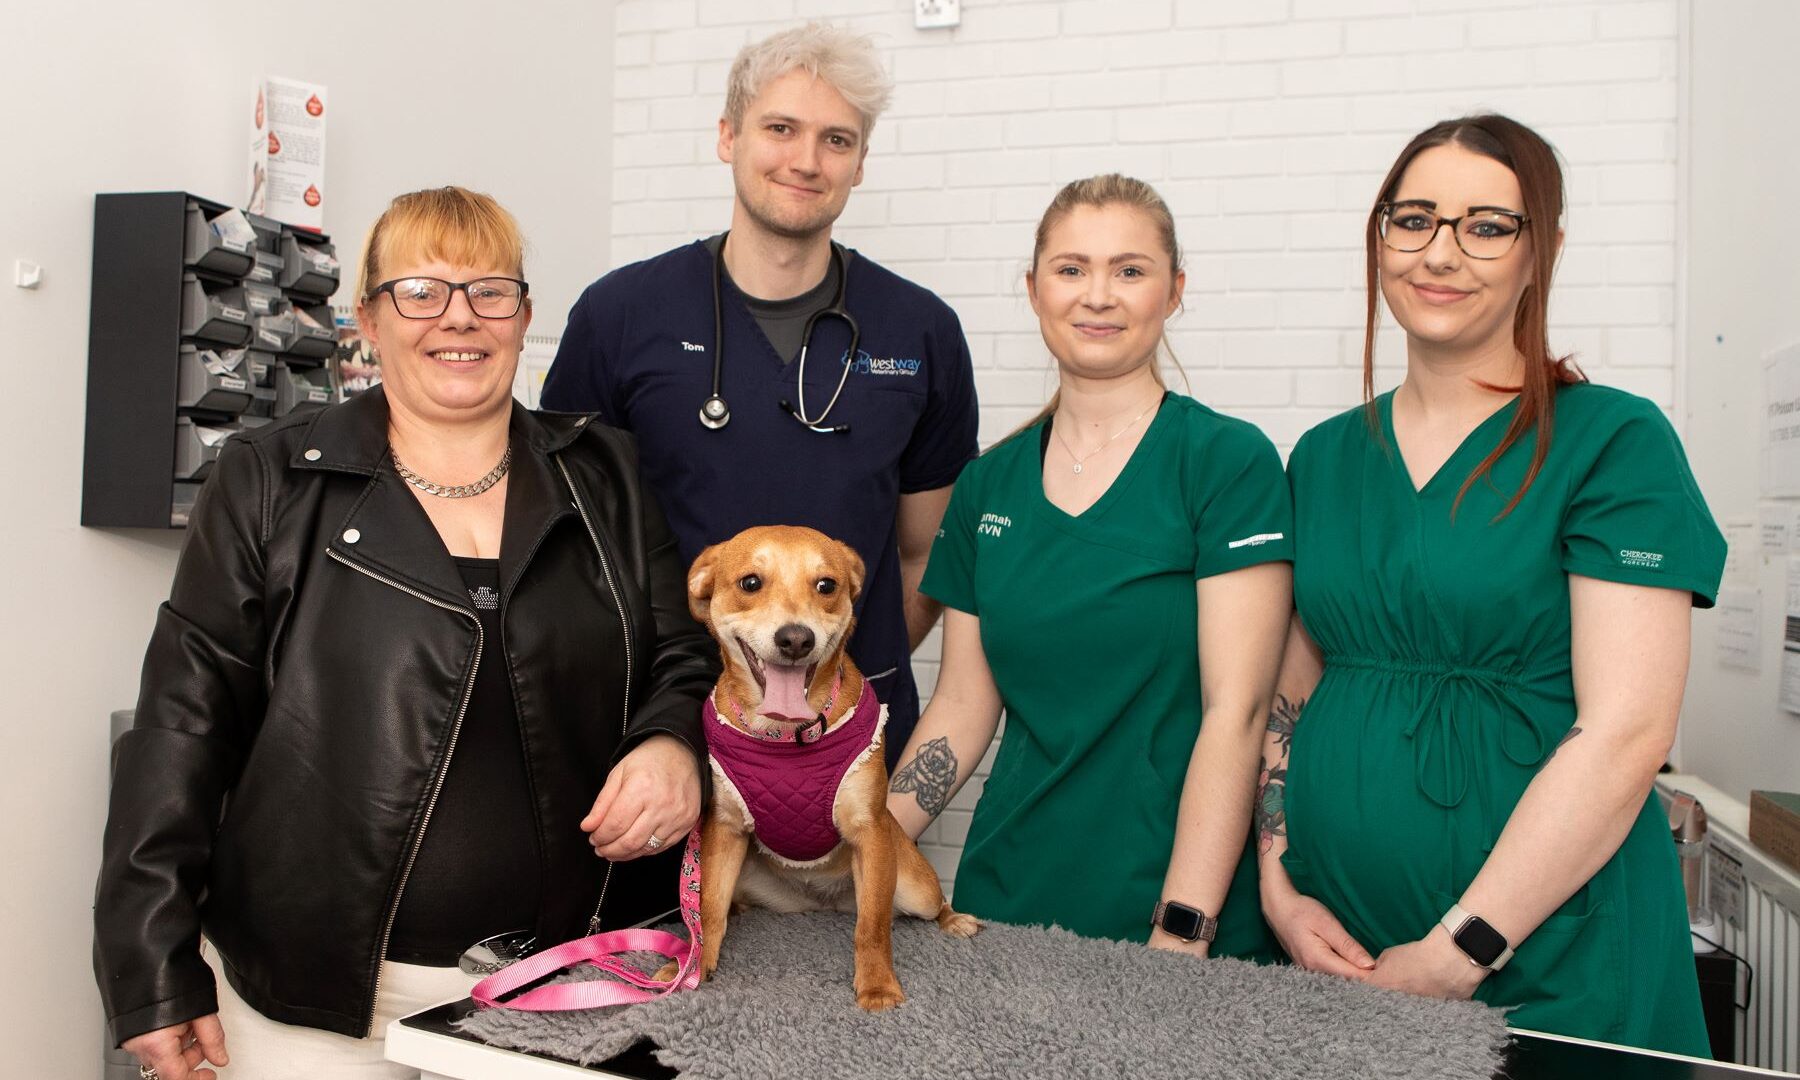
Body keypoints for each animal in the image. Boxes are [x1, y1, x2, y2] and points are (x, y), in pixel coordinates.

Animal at [680, 525, 979, 1015]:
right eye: (750, 583)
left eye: (826, 585)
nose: (796, 639)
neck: (785, 738)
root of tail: (824, 901)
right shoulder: (724, 830)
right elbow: (706, 911)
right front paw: (685, 969)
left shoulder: (870, 833)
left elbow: (872, 926)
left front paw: (877, 987)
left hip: (913, 883)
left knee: (927, 904)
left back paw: (955, 920)